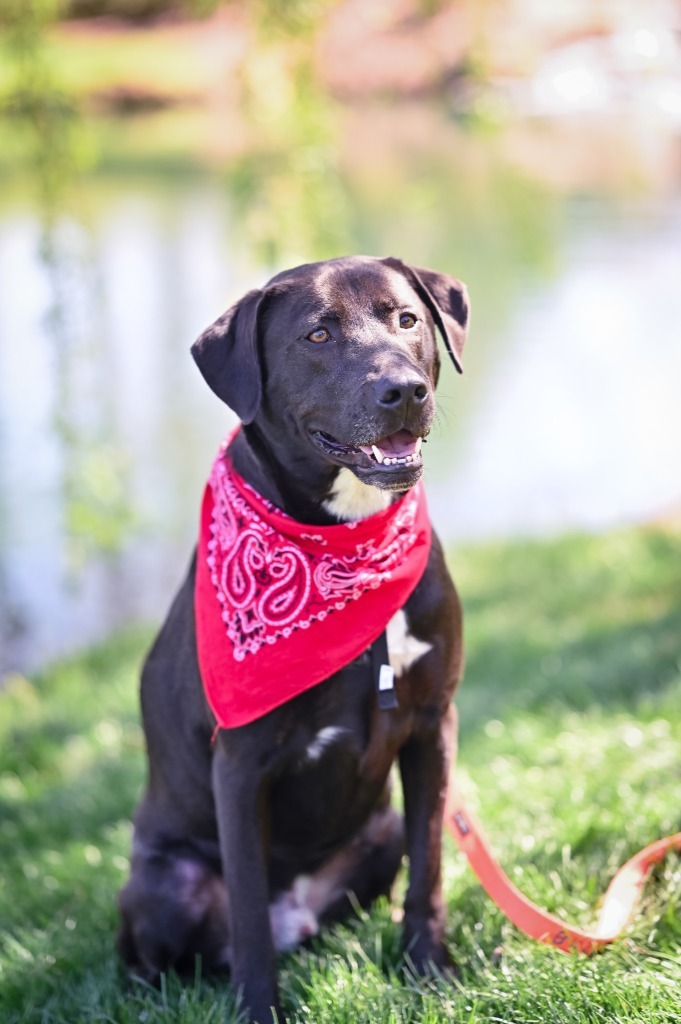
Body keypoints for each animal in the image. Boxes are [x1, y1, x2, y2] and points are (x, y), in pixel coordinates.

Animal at [116, 251, 466, 1019]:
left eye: (407, 318)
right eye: (317, 335)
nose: (404, 390)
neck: (348, 538)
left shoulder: (432, 724)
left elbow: (429, 867)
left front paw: (430, 969)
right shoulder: (241, 766)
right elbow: (247, 912)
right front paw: (259, 1009)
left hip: (379, 832)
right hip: (162, 882)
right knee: (149, 959)